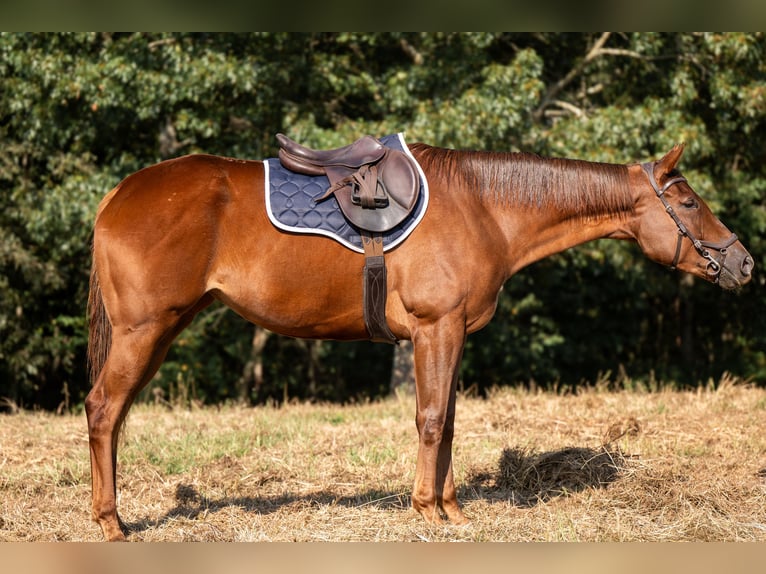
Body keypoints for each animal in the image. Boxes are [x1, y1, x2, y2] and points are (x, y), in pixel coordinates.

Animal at [85, 138, 753, 541]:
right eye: (688, 202)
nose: (743, 262)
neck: (485, 207)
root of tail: (119, 193)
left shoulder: (454, 335)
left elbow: (449, 420)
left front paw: (452, 508)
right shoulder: (437, 329)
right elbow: (431, 419)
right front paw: (425, 508)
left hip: (159, 331)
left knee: (111, 417)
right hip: (144, 331)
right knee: (103, 410)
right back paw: (111, 523)